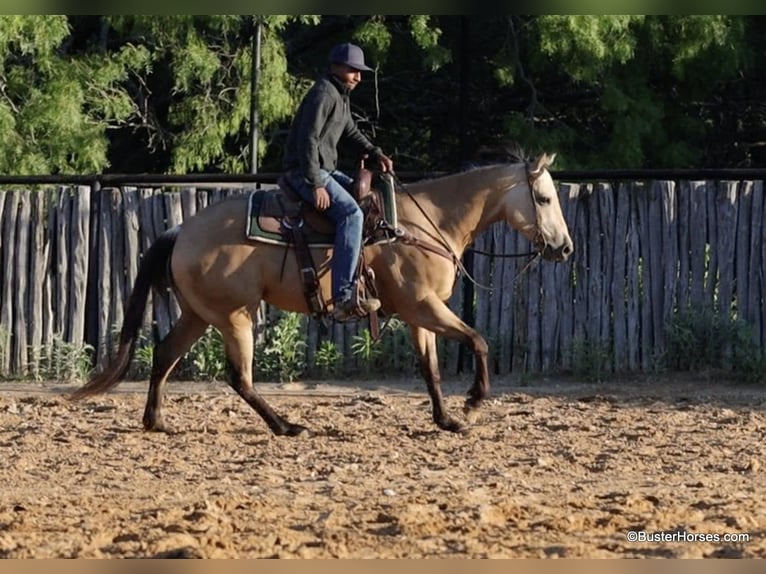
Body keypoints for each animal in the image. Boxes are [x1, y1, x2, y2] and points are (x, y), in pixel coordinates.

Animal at [70, 153, 573, 435]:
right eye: (544, 199)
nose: (565, 248)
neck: (423, 222)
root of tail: (181, 231)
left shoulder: (420, 314)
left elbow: (431, 370)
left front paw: (447, 420)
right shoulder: (426, 306)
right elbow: (479, 341)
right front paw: (472, 402)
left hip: (199, 314)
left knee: (164, 355)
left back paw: (157, 421)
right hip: (234, 316)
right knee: (240, 378)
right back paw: (287, 426)